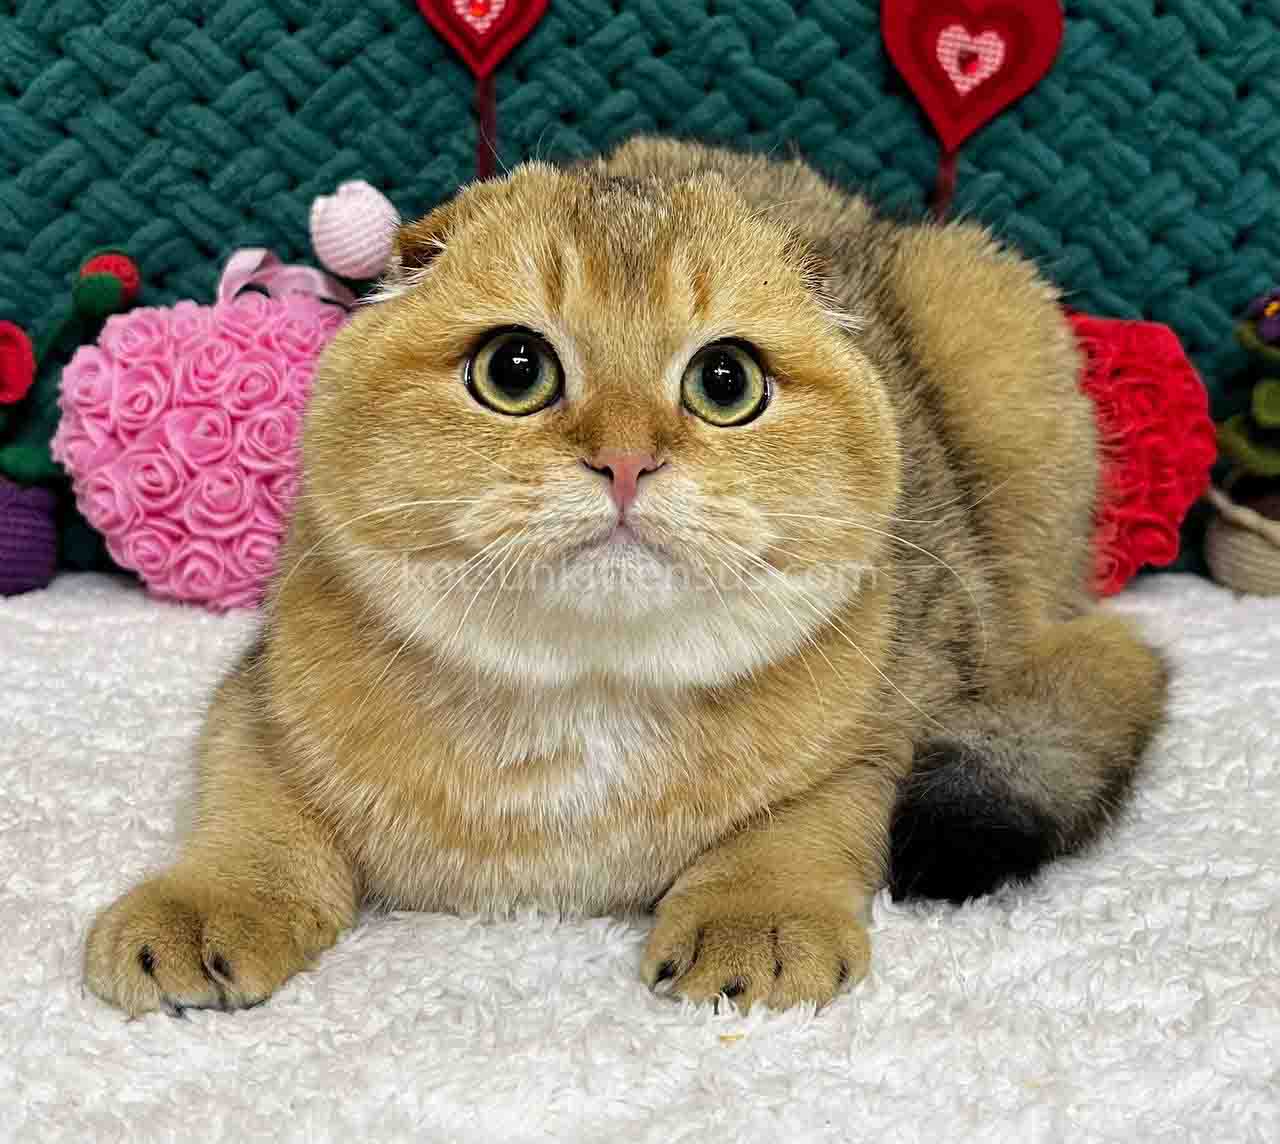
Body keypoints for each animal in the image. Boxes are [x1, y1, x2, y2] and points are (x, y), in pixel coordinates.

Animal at [85, 137, 1168, 1016]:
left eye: (725, 381)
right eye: (513, 368)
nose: (624, 462)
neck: (585, 689)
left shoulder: (889, 723)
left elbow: (807, 817)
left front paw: (755, 913)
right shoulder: (261, 697)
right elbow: (251, 814)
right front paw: (203, 903)